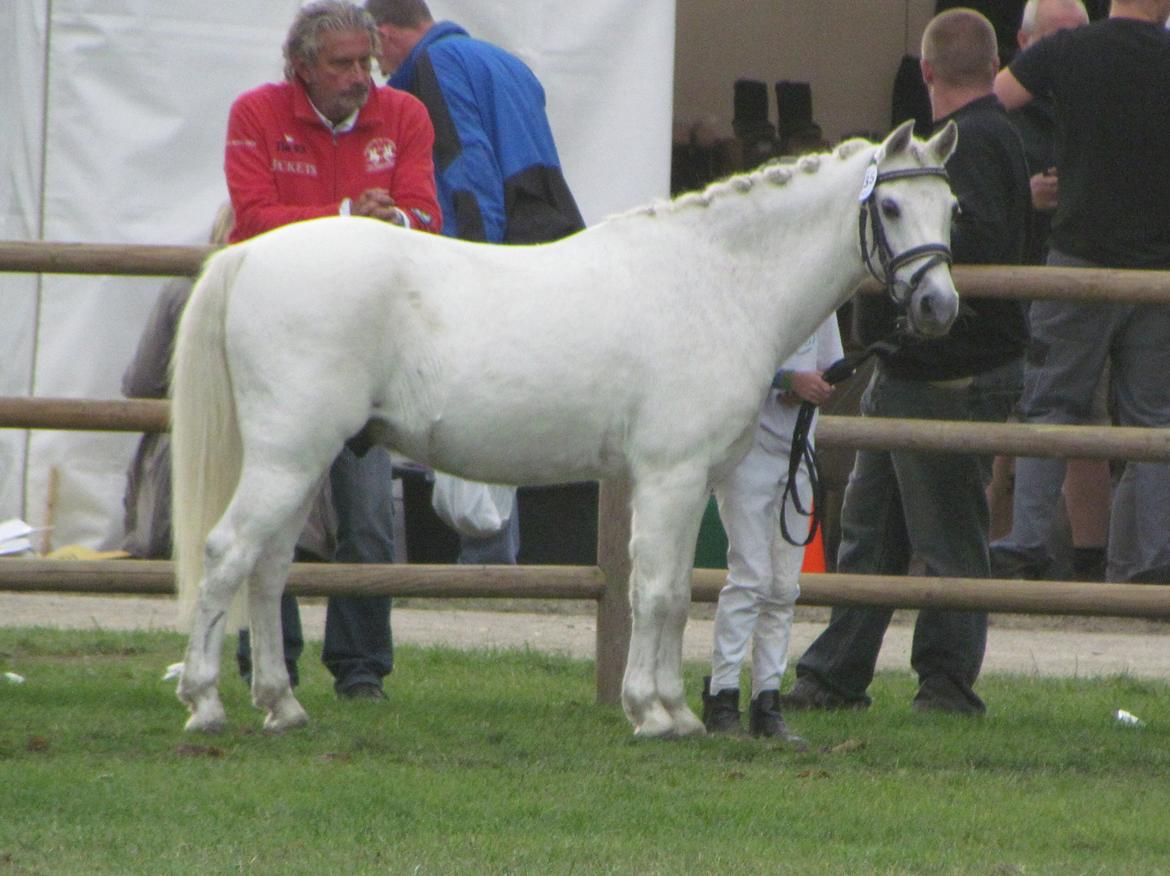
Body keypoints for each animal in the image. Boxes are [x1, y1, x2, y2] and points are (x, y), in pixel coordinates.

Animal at [173, 119, 959, 739]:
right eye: (890, 205)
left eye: (950, 206)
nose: (938, 308)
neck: (713, 280)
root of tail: (250, 254)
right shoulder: (671, 476)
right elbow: (658, 592)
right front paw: (655, 714)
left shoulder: (688, 481)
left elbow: (674, 592)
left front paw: (675, 710)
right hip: (287, 457)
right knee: (227, 555)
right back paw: (206, 703)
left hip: (303, 462)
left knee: (269, 569)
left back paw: (281, 705)